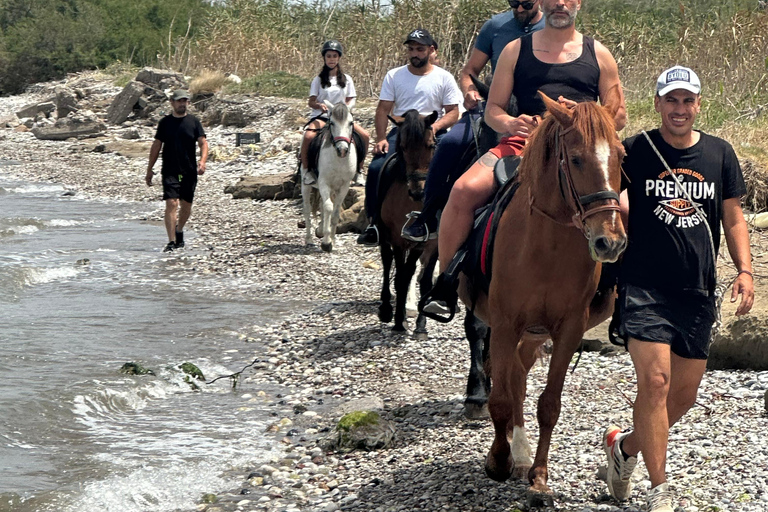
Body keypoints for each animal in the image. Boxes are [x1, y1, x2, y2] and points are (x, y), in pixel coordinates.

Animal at [302, 100, 358, 252]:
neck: (339, 159)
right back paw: (309, 239)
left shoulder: (343, 186)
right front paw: (326, 242)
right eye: (332, 123)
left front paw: (332, 239)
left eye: (351, 123)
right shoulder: (324, 183)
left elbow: (336, 211)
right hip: (306, 185)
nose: (342, 150)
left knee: (322, 205)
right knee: (308, 208)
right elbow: (328, 207)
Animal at [378, 109, 438, 334]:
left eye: (431, 145)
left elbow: (419, 278)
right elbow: (401, 278)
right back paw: (386, 308)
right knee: (387, 262)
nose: (417, 191)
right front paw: (399, 320)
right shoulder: (397, 239)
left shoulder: (426, 242)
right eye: (403, 147)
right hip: (384, 234)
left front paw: (420, 324)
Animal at [460, 91, 628, 500]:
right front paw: (498, 461)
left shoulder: (569, 329)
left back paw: (521, 457)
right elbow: (501, 399)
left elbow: (548, 403)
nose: (610, 242)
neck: (547, 246)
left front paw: (538, 475)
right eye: (577, 158)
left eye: (620, 157)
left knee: (519, 377)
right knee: (503, 374)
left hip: (533, 335)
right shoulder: (505, 323)